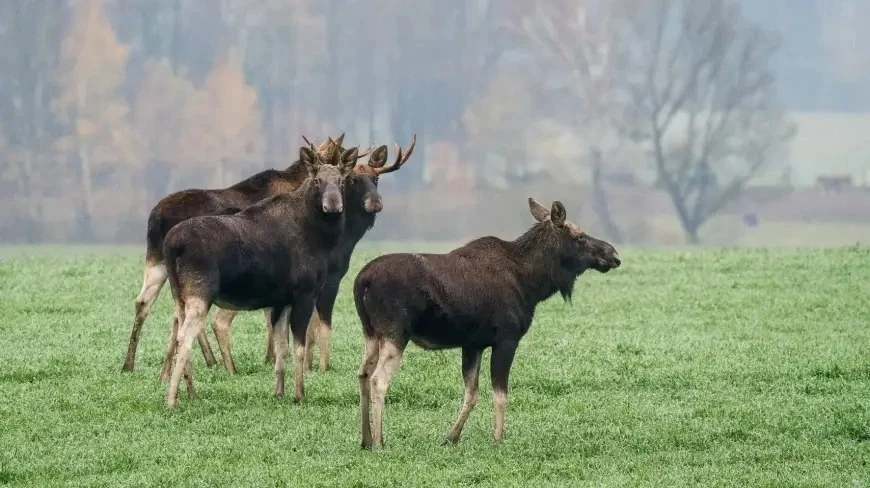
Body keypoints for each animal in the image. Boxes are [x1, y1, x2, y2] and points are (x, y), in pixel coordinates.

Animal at [162, 145, 360, 408]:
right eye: (317, 180)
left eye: (342, 181)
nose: (333, 206)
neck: (320, 239)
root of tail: (171, 245)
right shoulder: (305, 293)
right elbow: (298, 347)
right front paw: (299, 394)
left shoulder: (280, 301)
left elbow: (281, 347)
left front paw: (278, 392)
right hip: (199, 293)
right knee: (184, 338)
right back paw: (171, 400)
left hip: (179, 295)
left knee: (178, 332)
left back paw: (191, 394)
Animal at [208, 135, 418, 376]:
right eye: (353, 180)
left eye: (376, 178)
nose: (375, 203)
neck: (346, 239)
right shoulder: (329, 279)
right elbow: (323, 325)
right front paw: (322, 367)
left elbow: (309, 328)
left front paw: (306, 364)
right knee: (218, 320)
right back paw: (230, 368)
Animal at [350, 196, 624, 448]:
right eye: (580, 236)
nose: (613, 255)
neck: (532, 284)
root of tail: (361, 281)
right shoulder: (506, 339)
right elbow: (500, 394)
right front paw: (498, 438)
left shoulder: (474, 344)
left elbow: (471, 393)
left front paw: (451, 437)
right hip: (395, 332)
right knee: (379, 380)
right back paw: (379, 442)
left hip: (370, 332)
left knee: (362, 373)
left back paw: (365, 439)